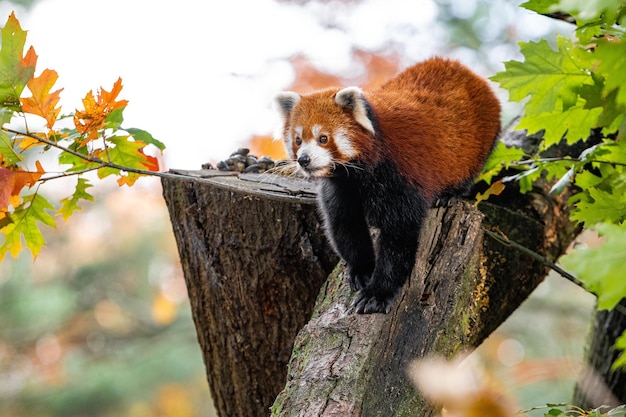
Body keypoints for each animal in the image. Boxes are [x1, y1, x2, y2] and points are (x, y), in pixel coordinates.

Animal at [272, 57, 498, 312]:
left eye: (323, 138)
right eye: (298, 140)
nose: (304, 160)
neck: (357, 173)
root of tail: (460, 67)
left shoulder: (400, 176)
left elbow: (399, 236)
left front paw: (377, 293)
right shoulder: (341, 186)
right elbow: (345, 224)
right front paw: (362, 269)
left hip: (478, 144)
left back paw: (448, 194)